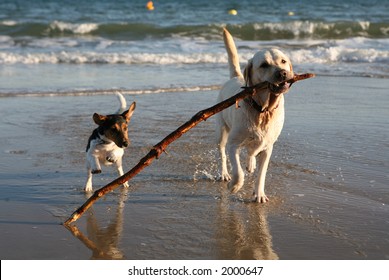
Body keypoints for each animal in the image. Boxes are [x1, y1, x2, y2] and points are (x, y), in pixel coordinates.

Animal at [215, 29, 294, 202]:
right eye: (264, 65)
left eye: (283, 61)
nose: (283, 73)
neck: (263, 111)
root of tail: (235, 76)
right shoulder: (233, 143)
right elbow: (238, 171)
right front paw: (235, 186)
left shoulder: (268, 147)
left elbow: (261, 174)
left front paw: (259, 194)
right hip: (222, 131)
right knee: (222, 152)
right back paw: (224, 174)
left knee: (252, 151)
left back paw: (250, 163)